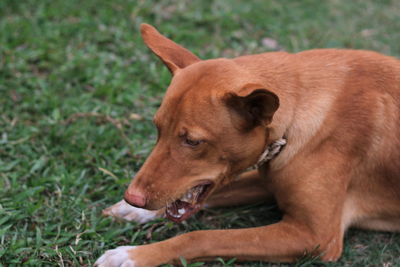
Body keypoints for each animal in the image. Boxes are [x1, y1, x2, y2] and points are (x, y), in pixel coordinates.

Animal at [94, 24, 400, 266]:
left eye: (193, 141)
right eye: (158, 129)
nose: (133, 197)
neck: (297, 111)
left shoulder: (315, 236)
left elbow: (201, 238)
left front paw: (133, 256)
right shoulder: (269, 179)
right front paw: (134, 211)